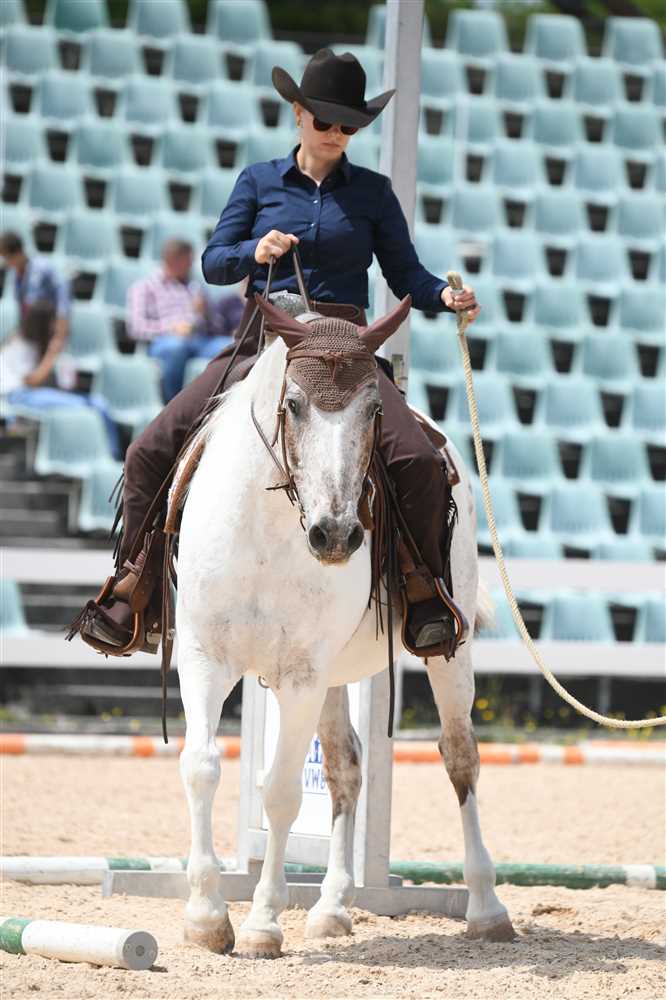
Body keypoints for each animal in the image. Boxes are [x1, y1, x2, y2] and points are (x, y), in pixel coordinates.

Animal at [173, 291, 516, 958]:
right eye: (294, 405)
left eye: (374, 409)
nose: (335, 535)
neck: (265, 531)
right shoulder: (204, 659)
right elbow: (201, 767)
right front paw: (205, 918)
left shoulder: (300, 676)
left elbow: (280, 791)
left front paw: (262, 923)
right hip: (333, 679)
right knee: (345, 767)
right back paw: (331, 906)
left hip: (444, 654)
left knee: (459, 755)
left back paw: (487, 908)